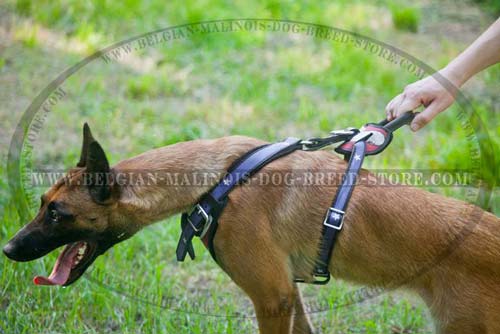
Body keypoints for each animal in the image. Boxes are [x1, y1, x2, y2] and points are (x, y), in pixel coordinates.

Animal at [3, 125, 500, 334]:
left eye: (56, 213)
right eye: (42, 205)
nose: (8, 249)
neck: (220, 176)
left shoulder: (271, 299)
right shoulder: (290, 297)